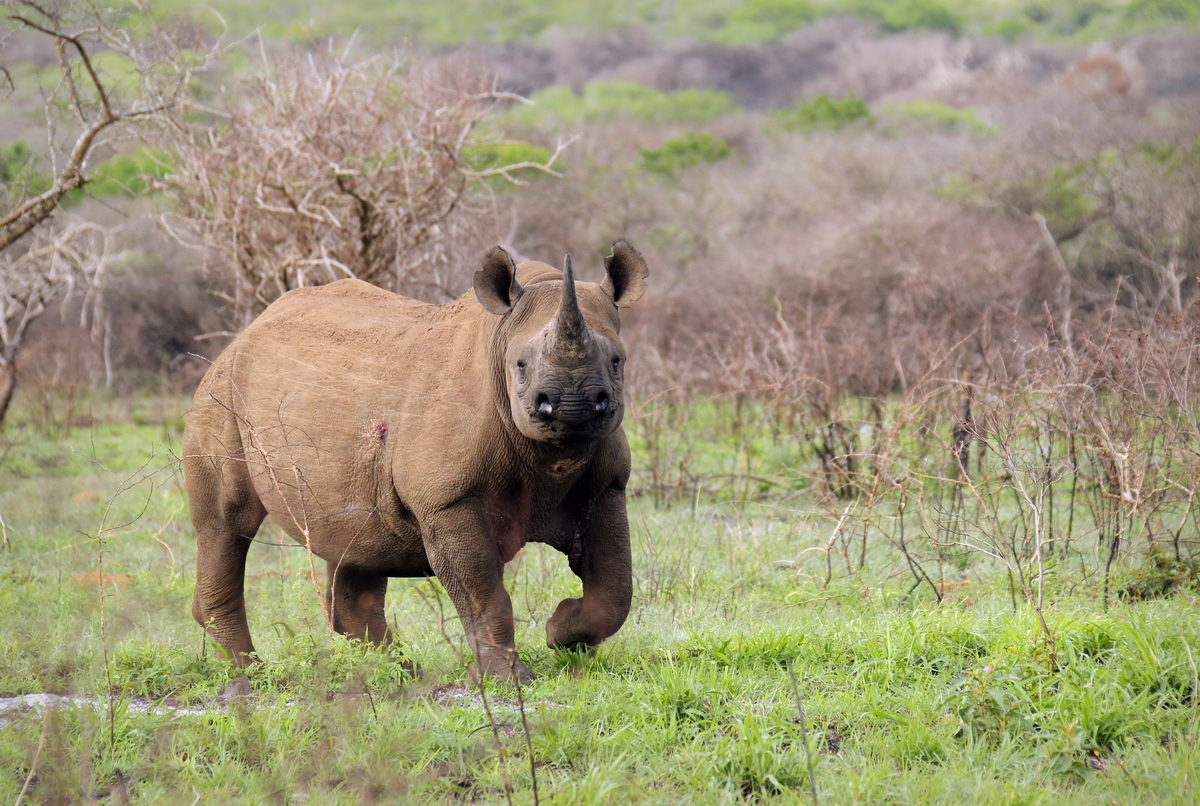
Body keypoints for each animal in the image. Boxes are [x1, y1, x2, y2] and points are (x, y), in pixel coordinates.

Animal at [183, 241, 649, 682]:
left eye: (617, 360)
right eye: (519, 364)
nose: (572, 406)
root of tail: (245, 331)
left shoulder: (605, 486)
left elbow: (614, 591)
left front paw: (561, 631)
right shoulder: (447, 499)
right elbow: (483, 591)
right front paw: (508, 678)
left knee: (358, 543)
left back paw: (400, 674)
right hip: (220, 391)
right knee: (228, 523)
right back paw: (252, 673)